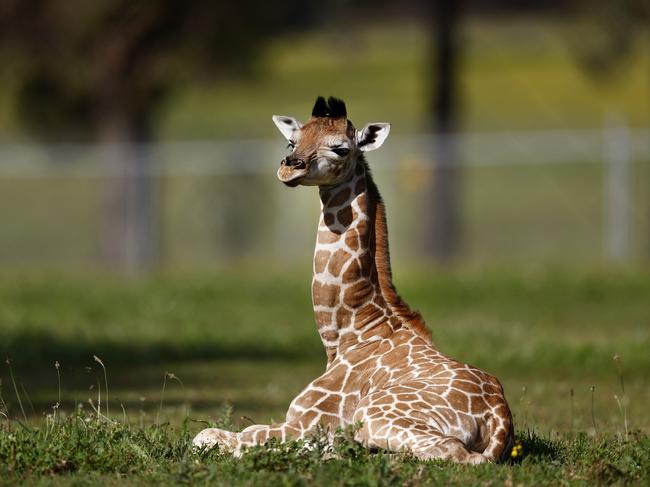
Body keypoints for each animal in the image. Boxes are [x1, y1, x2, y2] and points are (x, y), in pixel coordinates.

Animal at [190, 96, 512, 466]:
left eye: (341, 149)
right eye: (292, 141)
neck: (347, 334)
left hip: (377, 417)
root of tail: (499, 419)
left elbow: (213, 437)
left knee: (452, 453)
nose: (289, 168)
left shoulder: (304, 422)